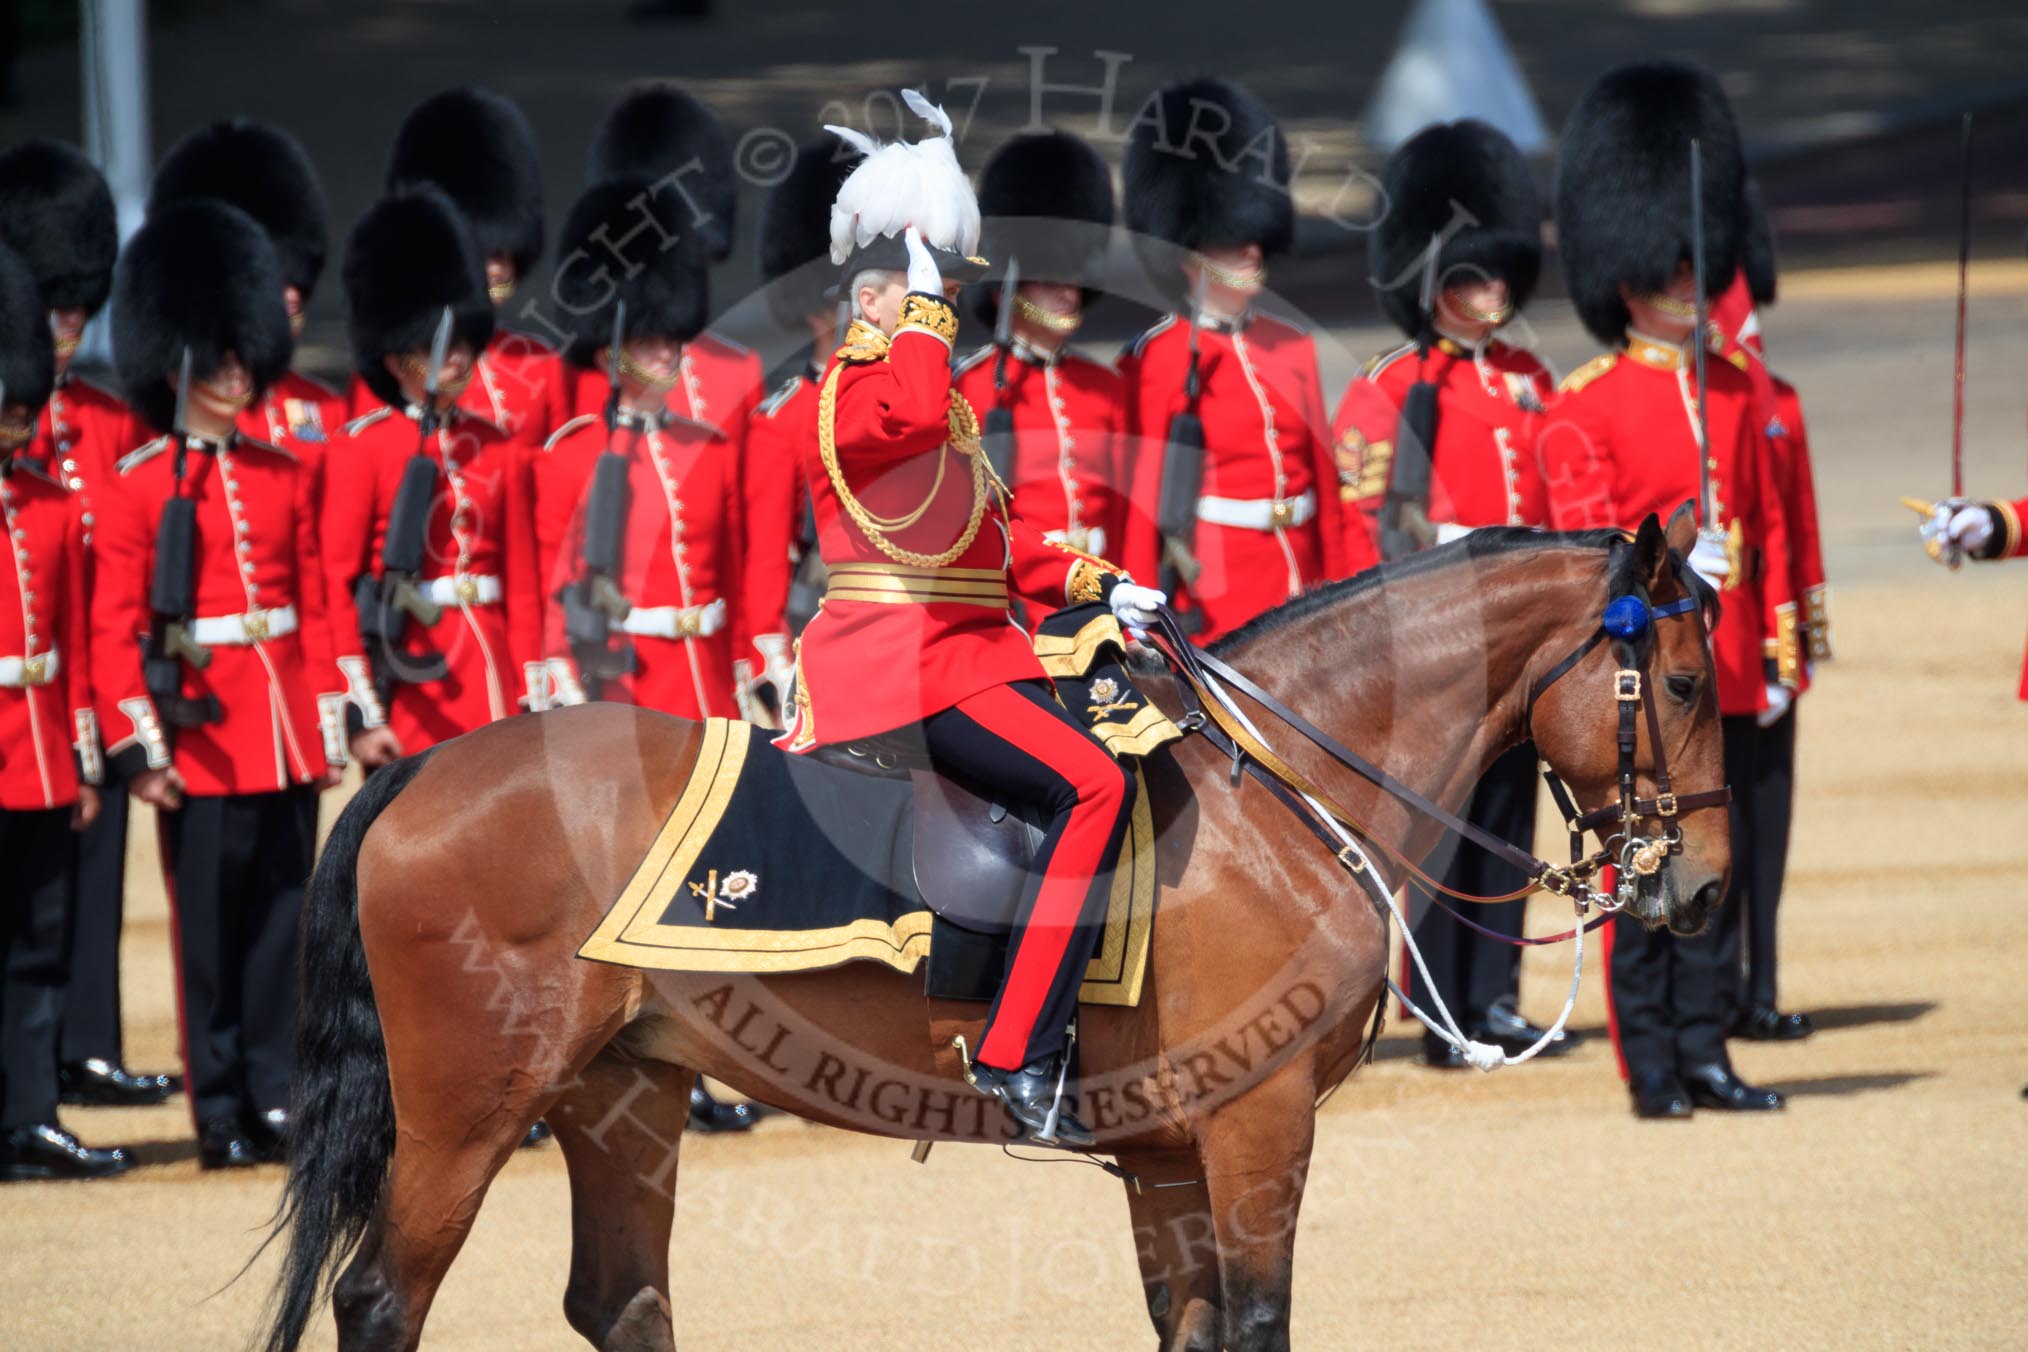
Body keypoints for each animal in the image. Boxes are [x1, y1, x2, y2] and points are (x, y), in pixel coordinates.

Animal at [261, 510, 1735, 1352]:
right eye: (1683, 679)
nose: (1709, 886)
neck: (1281, 793)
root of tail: (420, 768)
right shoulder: (1254, 1126)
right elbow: (1257, 1322)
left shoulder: (1165, 1156)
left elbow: (1192, 1326)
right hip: (468, 1110)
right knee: (381, 1301)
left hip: (625, 1096)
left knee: (621, 1302)